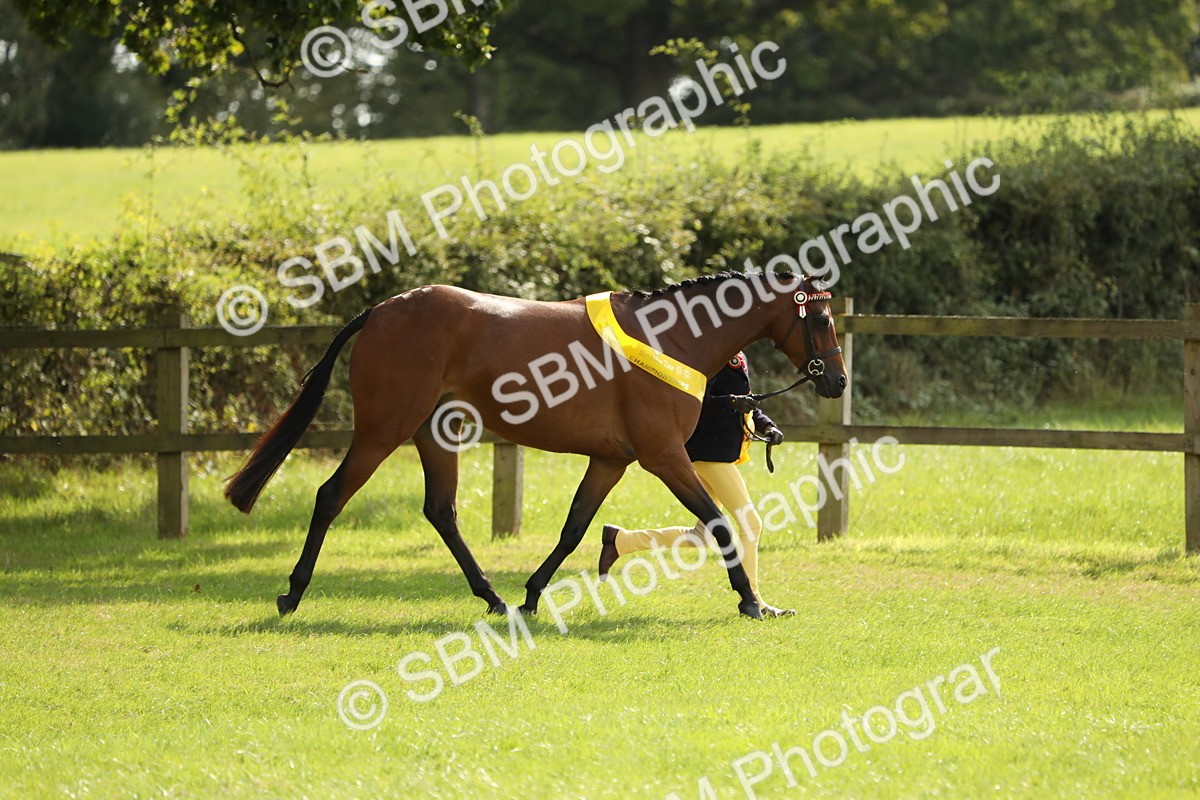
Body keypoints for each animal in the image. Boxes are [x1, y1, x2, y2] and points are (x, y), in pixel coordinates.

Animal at [224, 271, 847, 620]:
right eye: (819, 318)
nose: (837, 382)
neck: (670, 335)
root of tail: (381, 310)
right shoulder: (663, 456)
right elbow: (717, 522)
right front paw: (751, 601)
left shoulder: (612, 459)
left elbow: (574, 528)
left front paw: (530, 595)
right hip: (383, 431)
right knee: (331, 497)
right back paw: (291, 595)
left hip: (435, 432)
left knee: (441, 510)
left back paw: (494, 598)